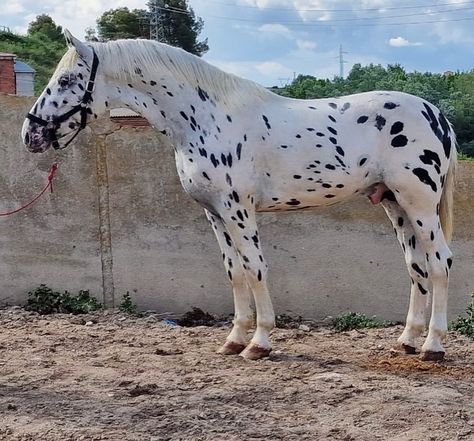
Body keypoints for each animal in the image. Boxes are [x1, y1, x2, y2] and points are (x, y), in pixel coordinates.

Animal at [21, 31, 456, 360]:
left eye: (66, 80)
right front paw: (234, 339)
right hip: (394, 203)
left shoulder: (238, 209)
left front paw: (260, 343)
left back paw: (433, 346)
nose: (31, 134)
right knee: (416, 265)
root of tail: (436, 113)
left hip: (418, 202)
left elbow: (255, 267)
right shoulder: (214, 212)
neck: (205, 117)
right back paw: (407, 341)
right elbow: (234, 271)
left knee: (439, 262)